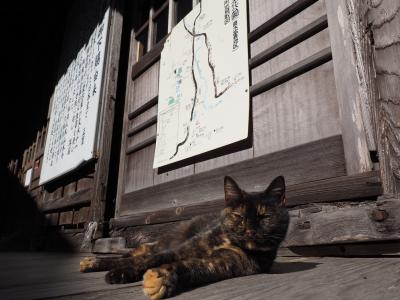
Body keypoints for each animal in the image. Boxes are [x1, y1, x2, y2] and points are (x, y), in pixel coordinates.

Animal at [79, 176, 290, 300]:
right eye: (239, 216)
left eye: (264, 217)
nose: (250, 230)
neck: (227, 241)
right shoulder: (187, 248)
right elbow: (151, 260)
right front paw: (121, 273)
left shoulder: (227, 262)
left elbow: (191, 267)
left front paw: (162, 278)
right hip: (163, 243)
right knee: (136, 255)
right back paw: (93, 262)